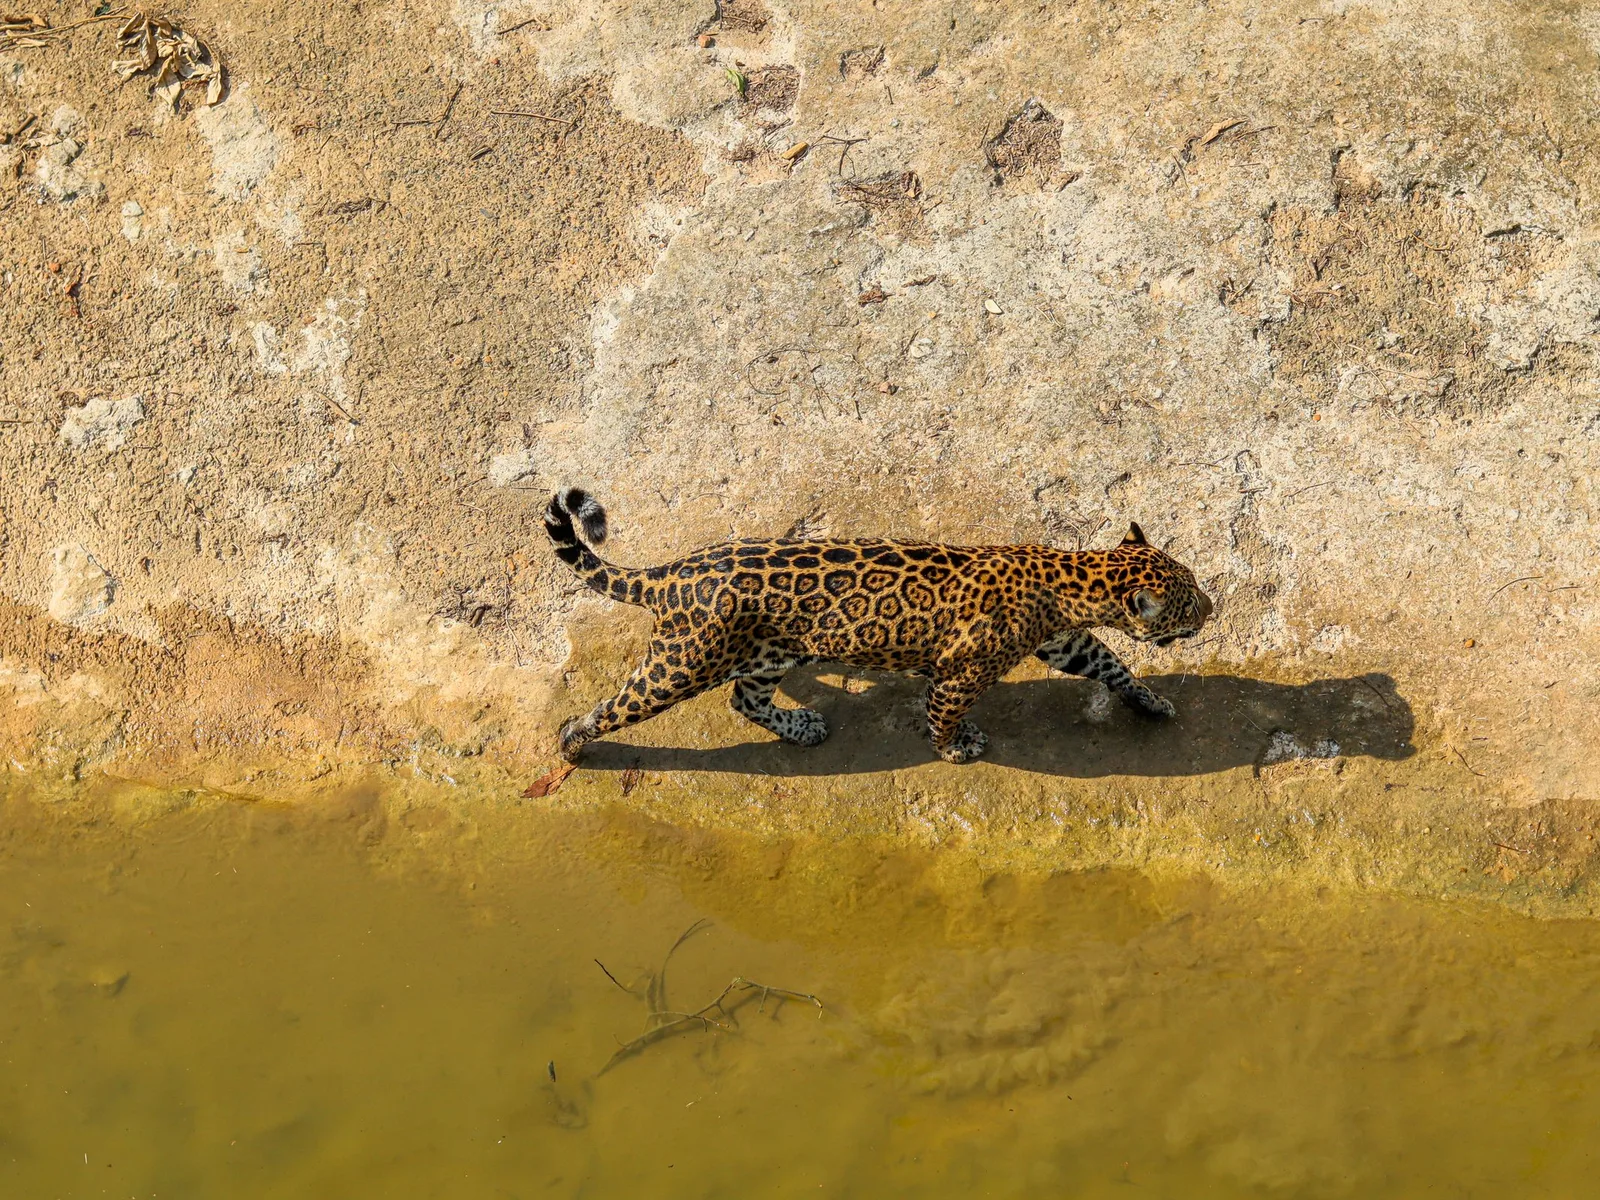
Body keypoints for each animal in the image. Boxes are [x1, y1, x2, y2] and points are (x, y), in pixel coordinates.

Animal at [545, 488, 1213, 765]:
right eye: (1188, 602)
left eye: (1192, 585)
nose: (1213, 609)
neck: (1072, 577)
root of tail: (673, 570)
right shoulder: (960, 672)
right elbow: (942, 713)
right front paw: (954, 748)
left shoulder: (1065, 641)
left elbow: (1113, 666)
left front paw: (1152, 702)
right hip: (681, 663)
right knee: (614, 706)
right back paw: (574, 745)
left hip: (772, 654)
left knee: (745, 699)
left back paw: (802, 727)